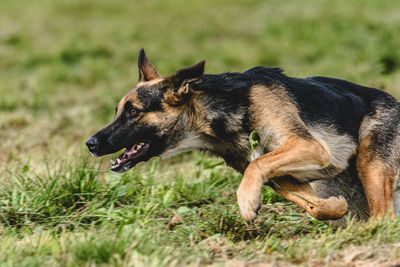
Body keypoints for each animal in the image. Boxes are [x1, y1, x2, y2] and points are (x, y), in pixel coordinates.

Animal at [86, 49, 400, 223]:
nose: (90, 144)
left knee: (383, 218)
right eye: (117, 111)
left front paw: (247, 203)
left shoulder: (308, 147)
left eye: (133, 112)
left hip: (370, 164)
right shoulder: (284, 178)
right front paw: (334, 207)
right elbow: (313, 206)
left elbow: (257, 164)